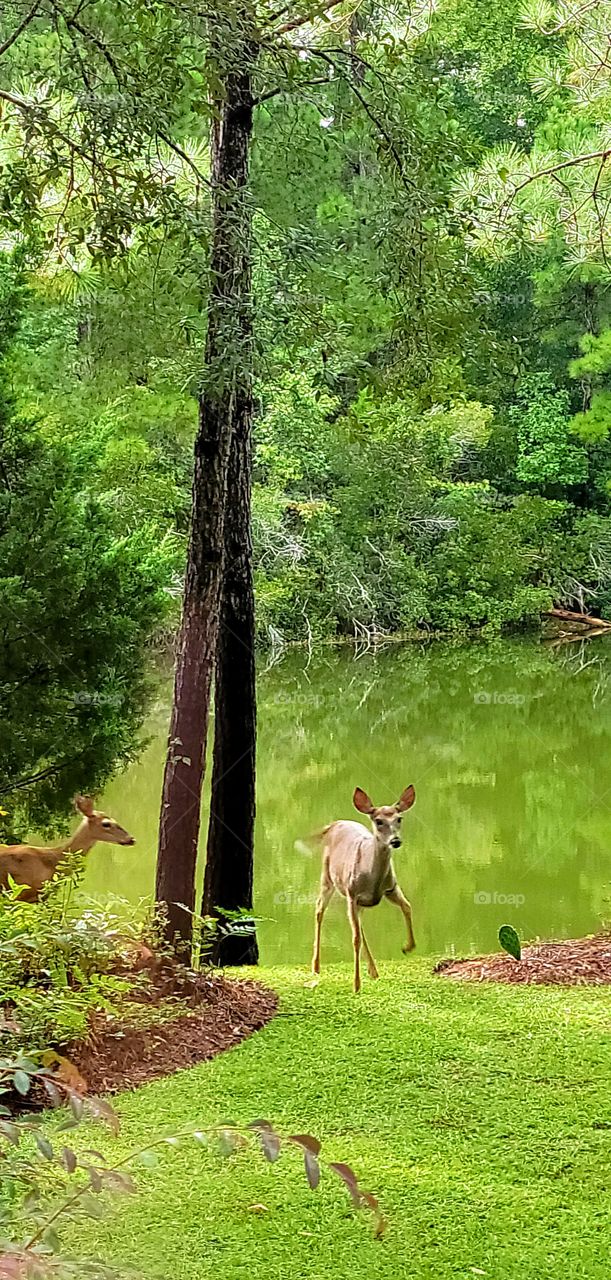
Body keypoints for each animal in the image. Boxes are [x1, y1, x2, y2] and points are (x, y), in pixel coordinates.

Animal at [312, 784, 416, 993]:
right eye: (378, 821)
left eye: (399, 818)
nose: (395, 841)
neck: (372, 878)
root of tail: (334, 824)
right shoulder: (352, 894)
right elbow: (355, 938)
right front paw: (356, 985)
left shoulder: (390, 888)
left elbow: (407, 906)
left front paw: (408, 946)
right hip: (327, 877)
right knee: (319, 910)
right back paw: (316, 966)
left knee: (359, 925)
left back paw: (373, 971)